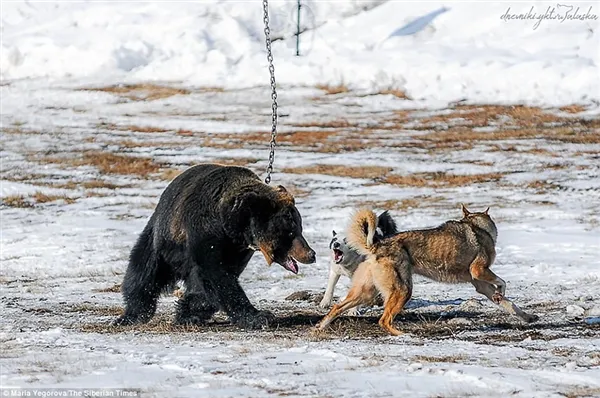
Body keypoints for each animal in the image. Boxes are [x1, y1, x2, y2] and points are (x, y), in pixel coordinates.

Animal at [316, 205, 536, 336]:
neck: (476, 226)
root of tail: (376, 246)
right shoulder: (479, 270)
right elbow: (502, 283)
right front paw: (502, 292)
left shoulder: (481, 284)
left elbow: (510, 304)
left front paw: (527, 317)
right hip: (403, 291)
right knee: (383, 320)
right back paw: (402, 335)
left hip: (365, 292)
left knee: (337, 307)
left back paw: (321, 326)